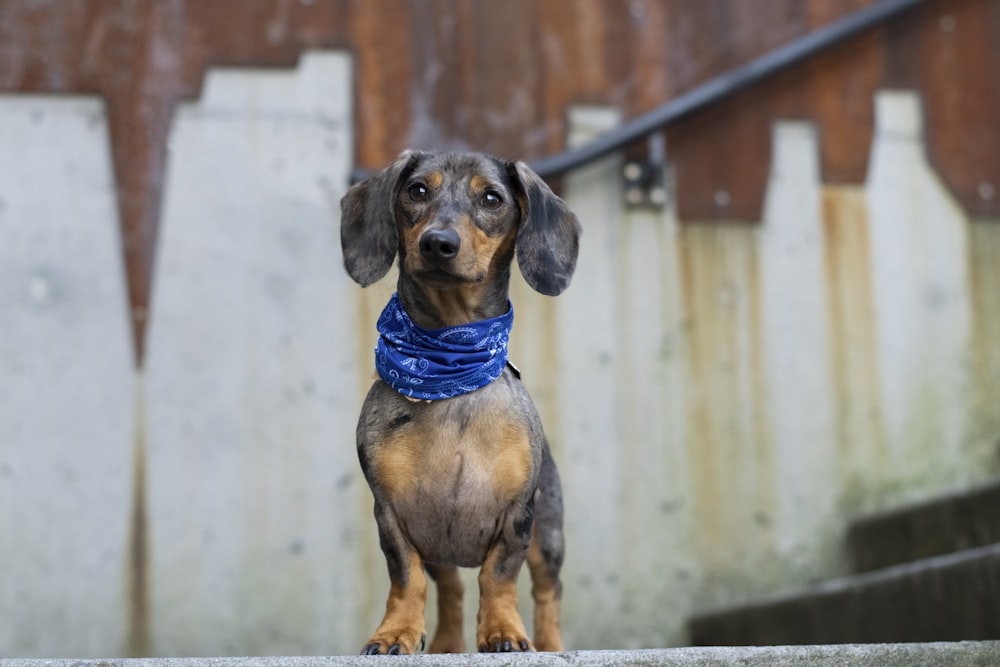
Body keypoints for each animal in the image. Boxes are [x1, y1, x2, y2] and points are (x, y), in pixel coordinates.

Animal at [342, 150, 584, 652]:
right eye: (416, 190)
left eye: (491, 198)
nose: (438, 244)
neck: (449, 367)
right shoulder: (392, 515)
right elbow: (407, 579)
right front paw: (395, 632)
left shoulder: (518, 516)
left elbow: (498, 576)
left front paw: (504, 630)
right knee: (451, 588)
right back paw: (446, 643)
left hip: (549, 534)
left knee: (548, 591)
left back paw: (551, 644)